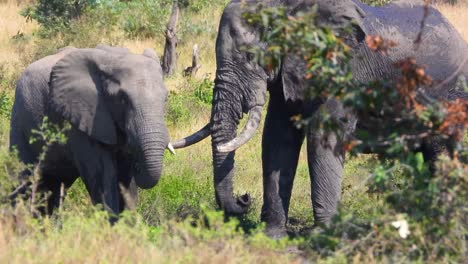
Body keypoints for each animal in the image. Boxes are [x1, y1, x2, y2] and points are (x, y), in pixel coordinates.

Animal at [9, 44, 174, 217]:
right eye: (123, 99)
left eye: (166, 98)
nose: (138, 164)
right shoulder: (83, 117)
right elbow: (102, 178)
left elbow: (126, 182)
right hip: (20, 119)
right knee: (23, 179)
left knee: (53, 185)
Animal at [171, 0, 468, 237]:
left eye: (250, 56)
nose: (244, 199)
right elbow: (278, 137)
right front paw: (272, 236)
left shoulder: (340, 70)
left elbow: (322, 137)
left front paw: (324, 236)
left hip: (448, 95)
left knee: (439, 152)